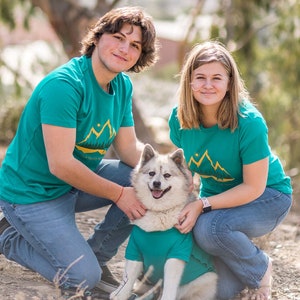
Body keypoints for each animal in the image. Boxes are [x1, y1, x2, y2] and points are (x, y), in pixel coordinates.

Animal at [109, 144, 216, 298]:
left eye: (167, 175)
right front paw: (120, 295)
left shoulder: (175, 257)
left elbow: (169, 288)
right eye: (151, 173)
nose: (156, 183)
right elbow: (127, 281)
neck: (158, 212)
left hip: (205, 280)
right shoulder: (135, 252)